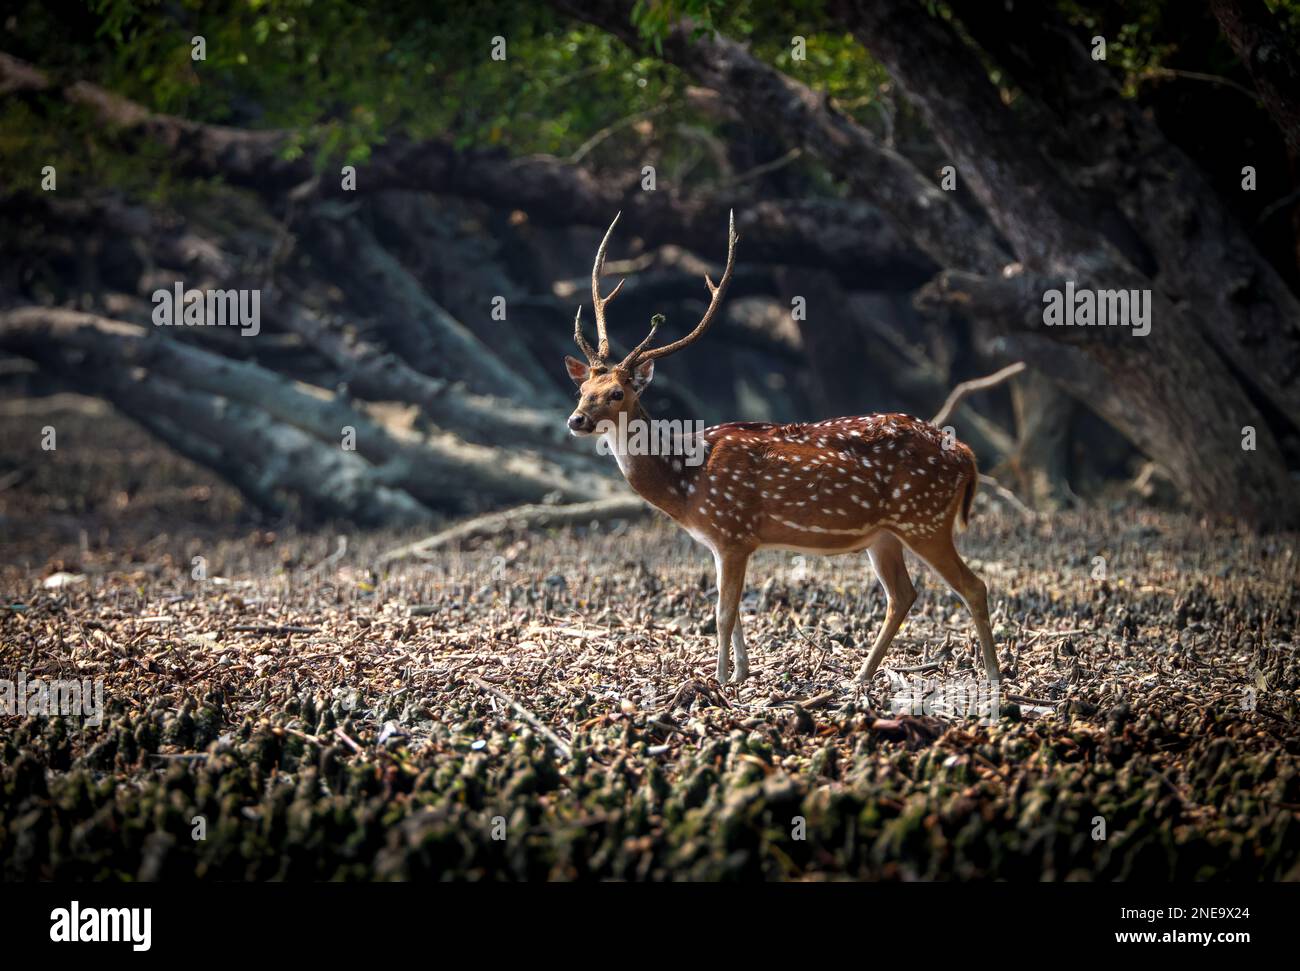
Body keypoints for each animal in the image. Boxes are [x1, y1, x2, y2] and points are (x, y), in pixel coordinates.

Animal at [564, 211, 999, 689]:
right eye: (583, 389)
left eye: (618, 393)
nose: (577, 420)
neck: (687, 485)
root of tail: (964, 453)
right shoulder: (721, 543)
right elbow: (735, 614)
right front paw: (740, 672)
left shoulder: (733, 531)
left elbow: (723, 614)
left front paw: (721, 679)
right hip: (886, 533)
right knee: (903, 594)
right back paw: (862, 676)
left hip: (925, 517)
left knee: (973, 585)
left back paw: (994, 676)